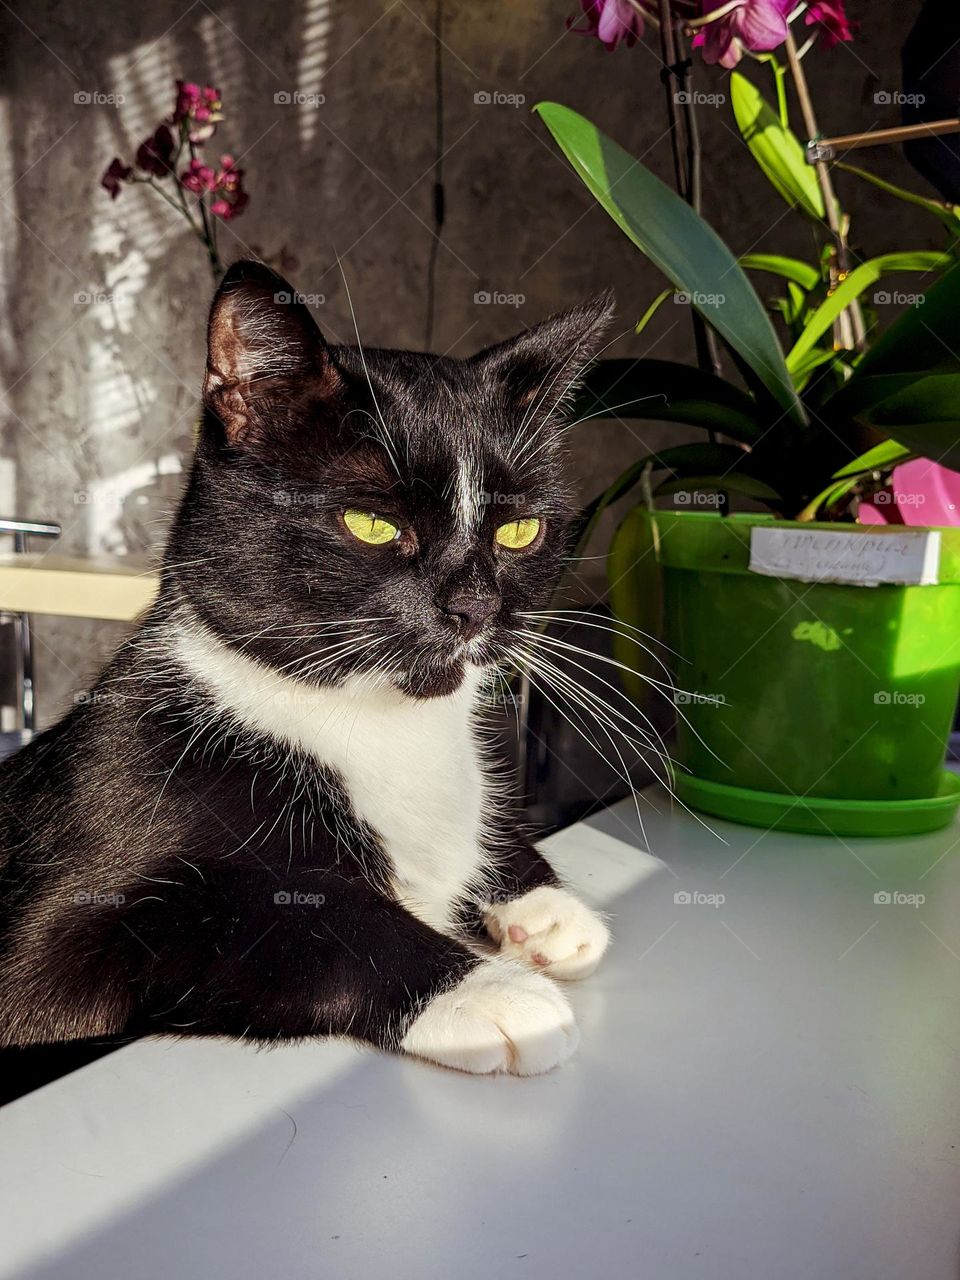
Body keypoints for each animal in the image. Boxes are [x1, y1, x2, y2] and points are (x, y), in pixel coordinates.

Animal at [0, 264, 611, 1075]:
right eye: (373, 524)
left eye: (519, 530)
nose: (476, 606)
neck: (375, 723)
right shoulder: (66, 930)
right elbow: (297, 917)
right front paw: (486, 990)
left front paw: (542, 903)